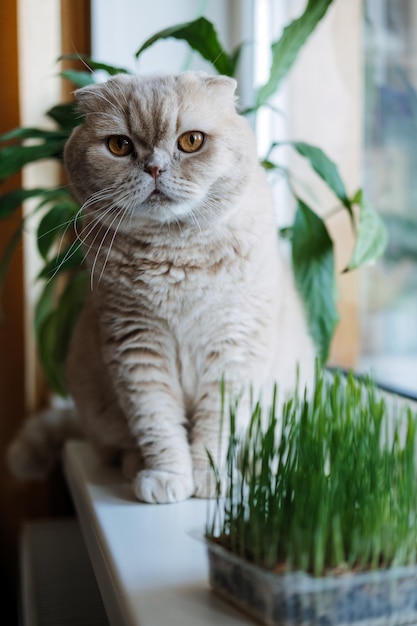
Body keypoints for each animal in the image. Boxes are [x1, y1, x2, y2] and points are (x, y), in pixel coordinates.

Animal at [6, 72, 314, 502]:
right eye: (119, 146)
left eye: (192, 141)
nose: (154, 168)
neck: (175, 257)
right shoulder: (137, 347)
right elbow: (157, 422)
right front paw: (168, 477)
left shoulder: (233, 348)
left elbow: (216, 426)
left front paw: (209, 477)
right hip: (96, 405)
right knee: (116, 447)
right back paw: (135, 465)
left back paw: (253, 469)